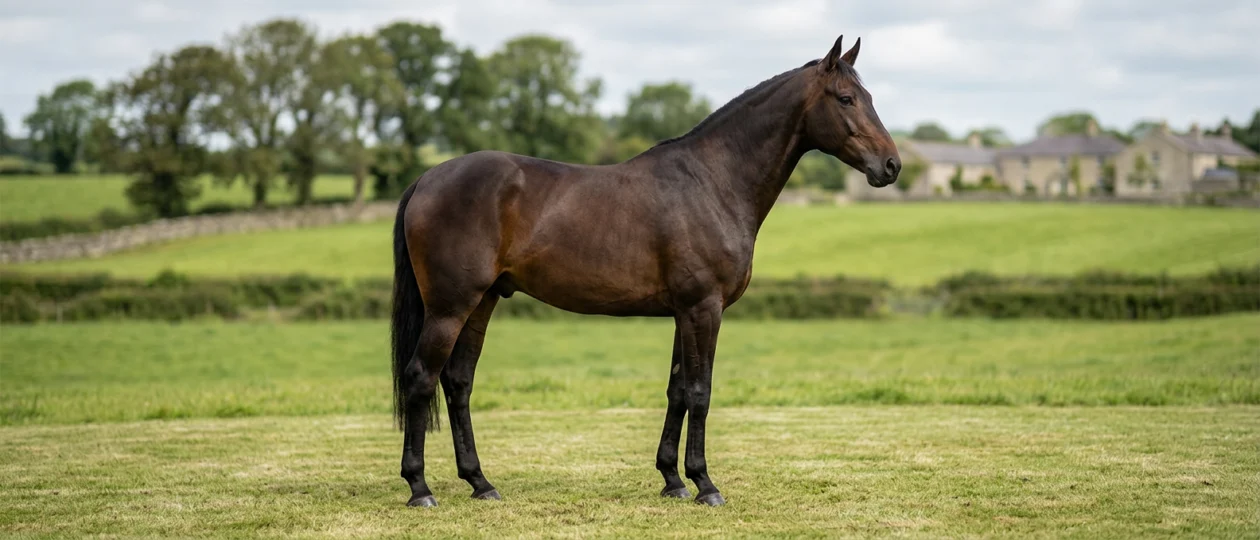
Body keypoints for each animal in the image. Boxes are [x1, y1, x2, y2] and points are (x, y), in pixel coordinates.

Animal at [389, 34, 900, 508]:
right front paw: (705, 484)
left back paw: (480, 483)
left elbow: (677, 390)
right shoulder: (704, 308)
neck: (713, 182)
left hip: (483, 301)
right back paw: (420, 488)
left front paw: (672, 480)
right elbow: (700, 391)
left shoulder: (683, 312)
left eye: (870, 96)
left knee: (458, 382)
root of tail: (426, 179)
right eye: (846, 98)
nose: (892, 165)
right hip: (450, 307)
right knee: (420, 377)